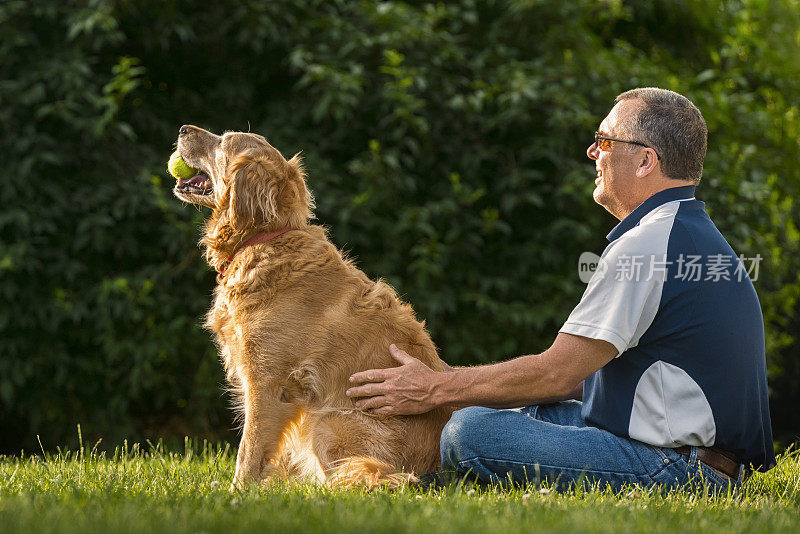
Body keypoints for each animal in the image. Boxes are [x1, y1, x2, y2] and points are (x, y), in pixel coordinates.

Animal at [172, 125, 454, 490]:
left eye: (223, 141)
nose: (182, 128)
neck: (266, 239)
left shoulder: (268, 383)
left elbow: (249, 450)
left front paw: (238, 492)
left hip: (326, 421)